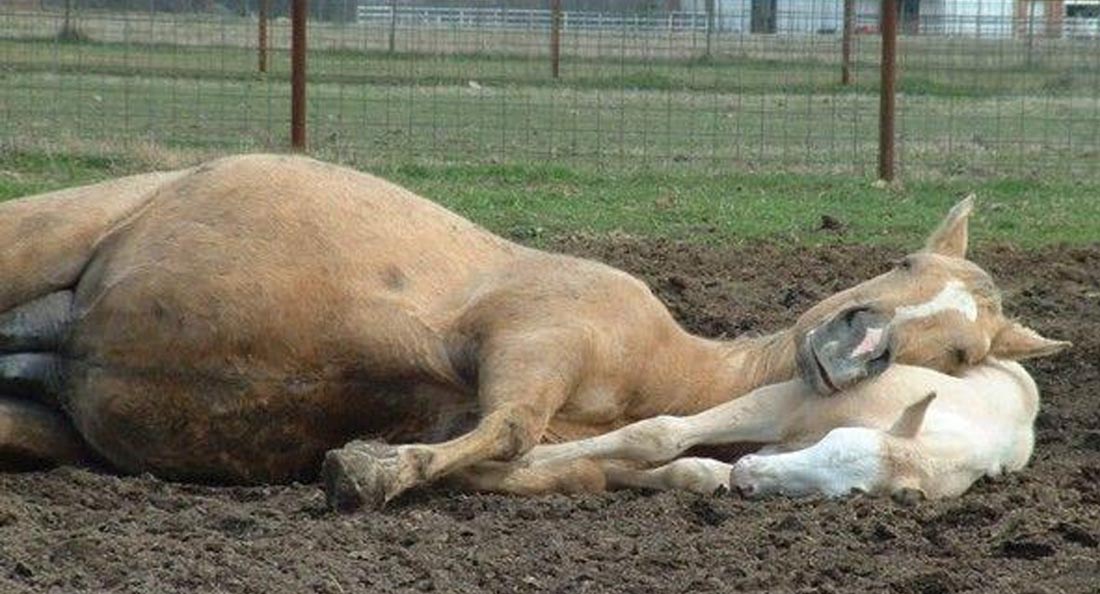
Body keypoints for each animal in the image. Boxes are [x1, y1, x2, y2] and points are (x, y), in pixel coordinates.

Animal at [484, 325, 1064, 501]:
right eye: (836, 439)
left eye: (848, 494)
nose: (747, 475)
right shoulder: (784, 401)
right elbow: (658, 434)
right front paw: (528, 461)